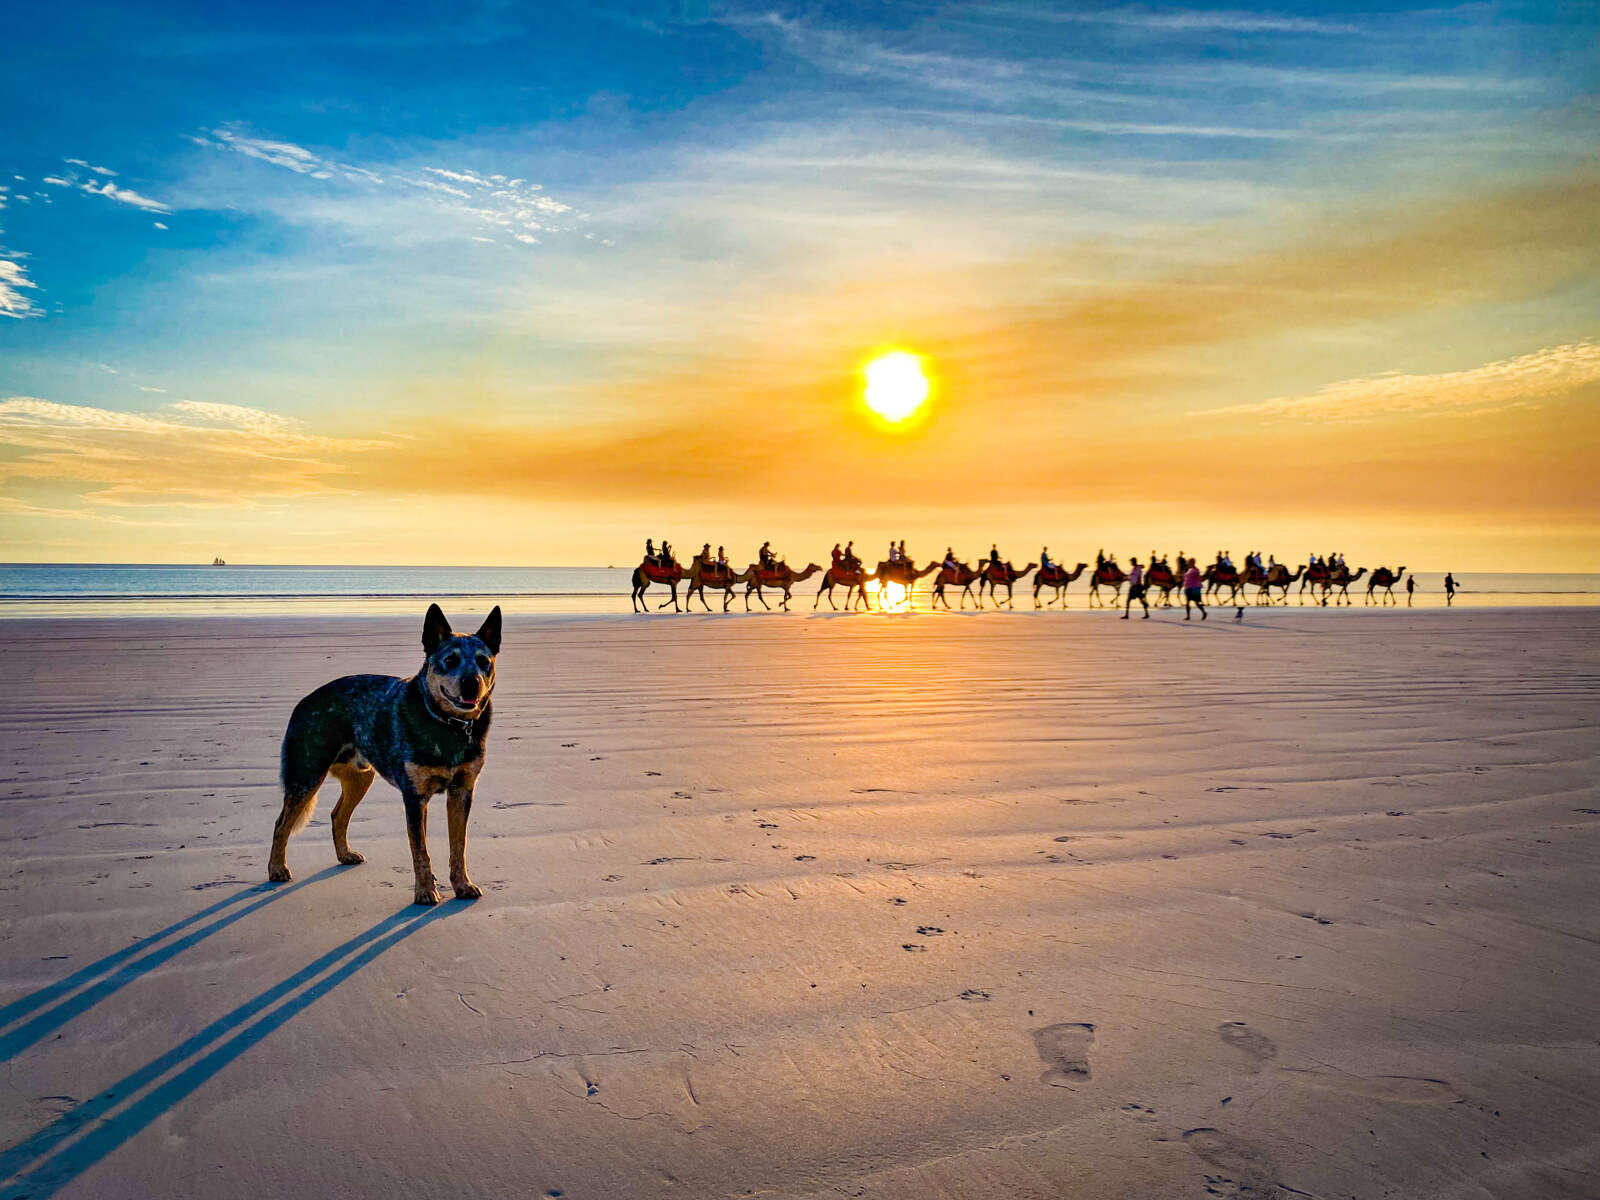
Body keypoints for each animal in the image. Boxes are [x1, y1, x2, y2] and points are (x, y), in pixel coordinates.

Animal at [268, 604, 502, 908]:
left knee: (337, 815)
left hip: (360, 778)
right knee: (281, 823)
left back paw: (345, 854)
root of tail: (304, 701)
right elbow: (420, 851)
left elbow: (458, 847)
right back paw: (276, 868)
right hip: (306, 776)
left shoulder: (462, 792)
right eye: (450, 660)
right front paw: (424, 890)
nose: (471, 683)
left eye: (483, 661)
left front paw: (462, 885)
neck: (447, 725)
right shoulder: (414, 797)